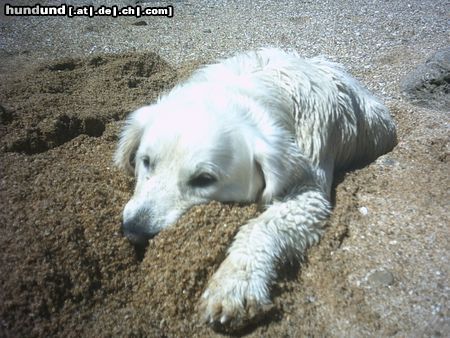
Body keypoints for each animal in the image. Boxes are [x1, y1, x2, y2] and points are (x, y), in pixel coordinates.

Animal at [114, 47, 396, 328]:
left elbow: (270, 222)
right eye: (146, 161)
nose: (135, 231)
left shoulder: (309, 176)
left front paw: (235, 285)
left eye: (204, 179)